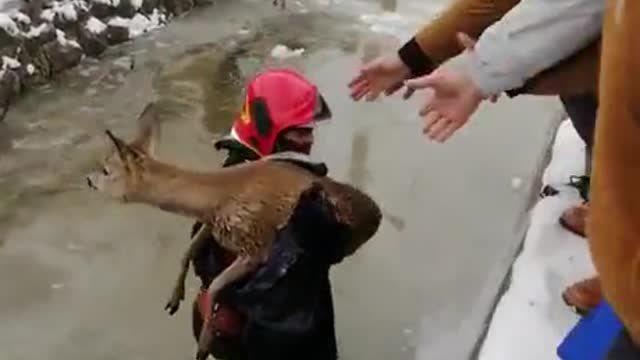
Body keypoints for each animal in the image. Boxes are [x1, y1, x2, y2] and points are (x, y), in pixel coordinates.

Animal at [87, 102, 382, 358]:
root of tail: (376, 213)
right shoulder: (216, 225)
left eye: (106, 169)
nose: (88, 179)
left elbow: (217, 283)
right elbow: (190, 248)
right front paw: (174, 297)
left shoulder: (255, 243)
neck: (218, 196)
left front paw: (205, 342)